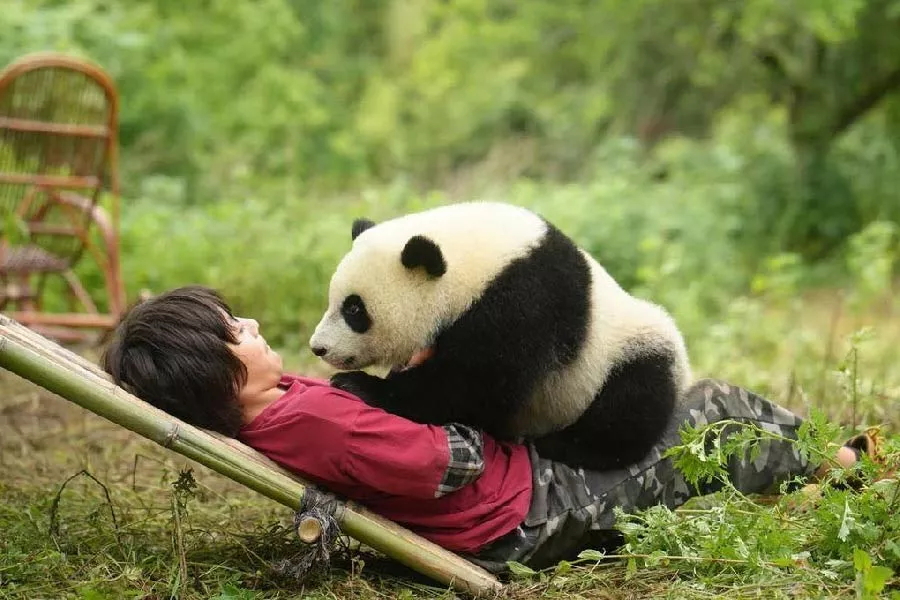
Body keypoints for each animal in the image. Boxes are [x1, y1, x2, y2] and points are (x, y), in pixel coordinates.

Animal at [309, 201, 692, 470]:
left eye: (355, 310)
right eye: (334, 300)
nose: (318, 348)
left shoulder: (524, 302)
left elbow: (474, 386)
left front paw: (361, 385)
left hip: (626, 352)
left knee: (629, 405)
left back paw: (565, 446)